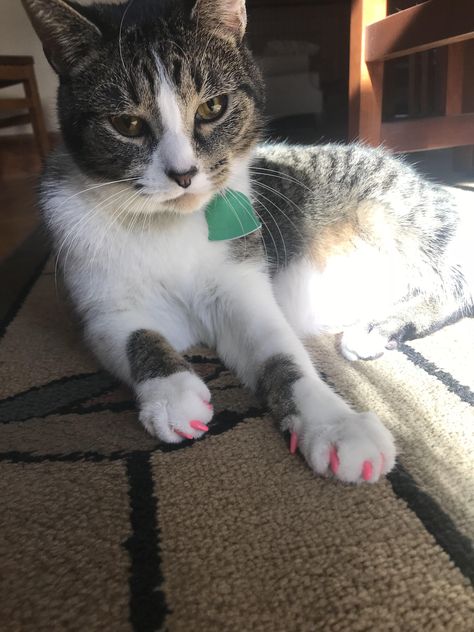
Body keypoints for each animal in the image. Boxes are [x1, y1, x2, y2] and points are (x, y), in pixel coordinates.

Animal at [23, 0, 474, 484]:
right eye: (126, 123)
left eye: (212, 107)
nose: (183, 173)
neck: (169, 225)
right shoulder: (100, 306)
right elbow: (136, 335)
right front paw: (173, 392)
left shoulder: (243, 289)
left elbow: (283, 356)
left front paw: (337, 426)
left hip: (396, 216)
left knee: (455, 285)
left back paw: (378, 326)